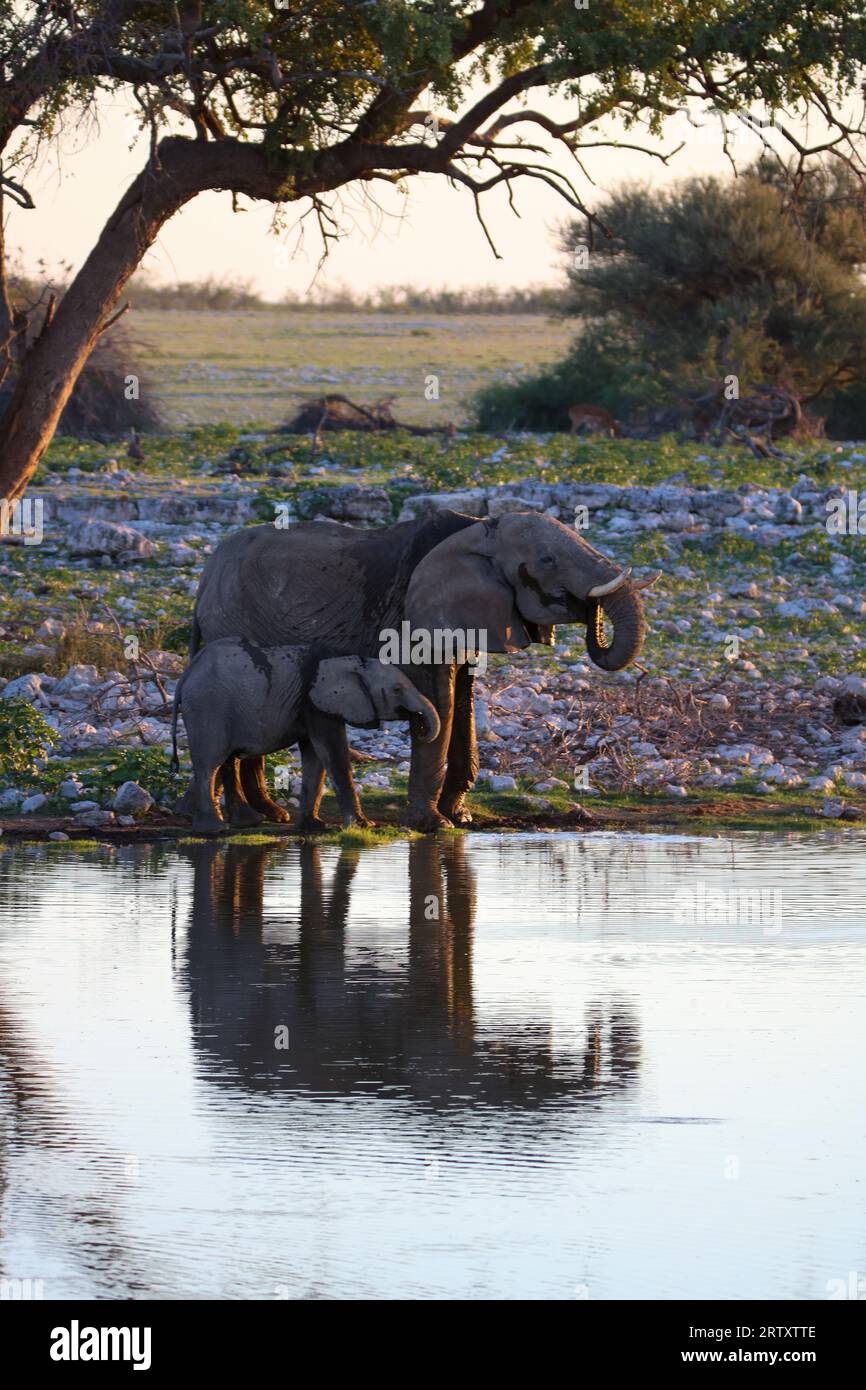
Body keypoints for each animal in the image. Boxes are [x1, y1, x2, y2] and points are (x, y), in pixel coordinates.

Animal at [171, 639, 440, 835]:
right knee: (210, 764)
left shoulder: (312, 706)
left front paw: (313, 826)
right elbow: (333, 753)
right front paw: (364, 826)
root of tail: (186, 675)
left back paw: (248, 822)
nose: (418, 725)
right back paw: (213, 830)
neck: (351, 661)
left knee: (229, 760)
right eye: (397, 690)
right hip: (207, 708)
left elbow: (314, 756)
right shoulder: (317, 703)